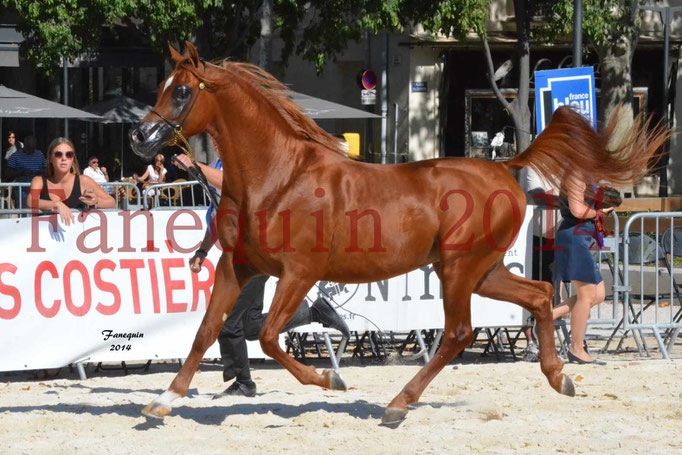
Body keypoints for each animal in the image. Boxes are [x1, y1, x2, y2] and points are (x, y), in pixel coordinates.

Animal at [129, 42, 664, 428]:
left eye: (182, 91)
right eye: (162, 85)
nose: (139, 137)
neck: (280, 176)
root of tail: (505, 168)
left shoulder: (299, 273)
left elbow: (268, 335)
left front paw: (331, 379)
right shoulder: (238, 265)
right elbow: (207, 330)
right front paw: (163, 400)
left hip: (458, 270)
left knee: (459, 332)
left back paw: (397, 404)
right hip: (482, 270)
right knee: (538, 294)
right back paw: (559, 378)